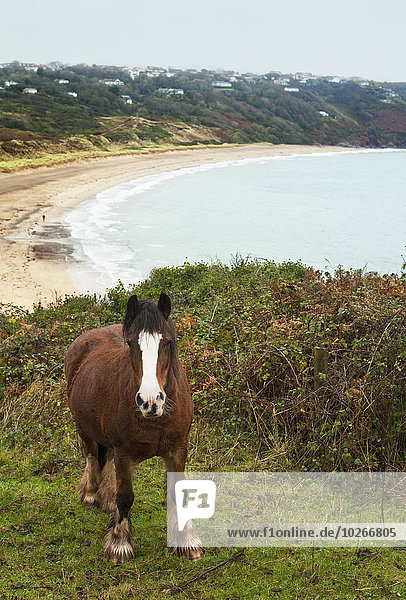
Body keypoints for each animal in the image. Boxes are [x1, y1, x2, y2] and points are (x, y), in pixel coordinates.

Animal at [64, 294, 202, 564]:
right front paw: (119, 544)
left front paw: (186, 542)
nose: (150, 401)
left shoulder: (178, 448)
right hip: (84, 429)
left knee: (104, 457)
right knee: (92, 456)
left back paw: (106, 498)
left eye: (167, 342)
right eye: (130, 344)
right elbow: (126, 497)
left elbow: (178, 492)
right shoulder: (124, 453)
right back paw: (91, 493)